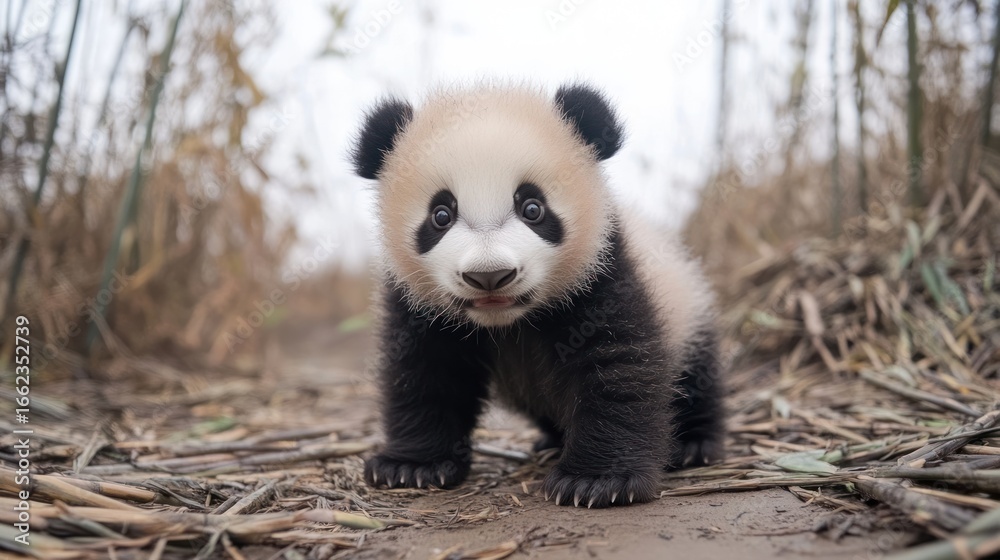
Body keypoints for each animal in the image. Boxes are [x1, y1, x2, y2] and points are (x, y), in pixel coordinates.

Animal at [351, 82, 724, 508]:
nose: (490, 276)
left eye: (533, 207)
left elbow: (618, 365)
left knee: (695, 378)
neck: (508, 321)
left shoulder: (603, 273)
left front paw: (596, 481)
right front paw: (411, 466)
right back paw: (550, 440)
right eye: (441, 215)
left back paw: (692, 445)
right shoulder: (418, 304)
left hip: (687, 304)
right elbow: (424, 370)